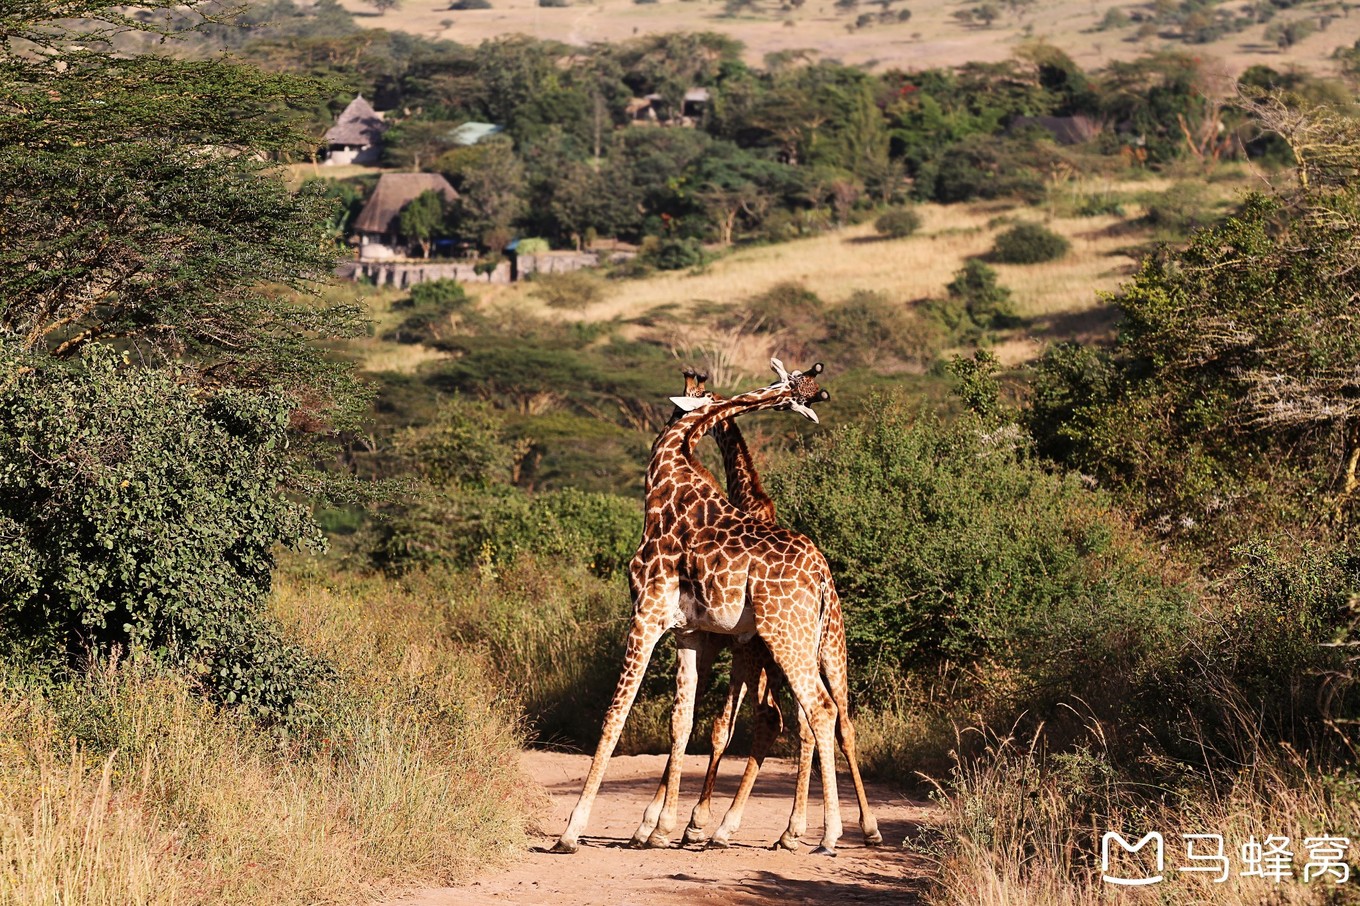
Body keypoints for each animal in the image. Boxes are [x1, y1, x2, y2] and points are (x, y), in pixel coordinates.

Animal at [552, 359, 870, 854]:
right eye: (793, 385)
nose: (816, 390)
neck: (665, 479)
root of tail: (821, 575)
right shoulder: (687, 632)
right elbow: (682, 720)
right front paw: (661, 827)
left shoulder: (646, 615)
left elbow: (615, 715)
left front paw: (572, 830)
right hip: (820, 641)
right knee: (826, 716)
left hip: (784, 637)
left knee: (815, 712)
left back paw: (825, 834)